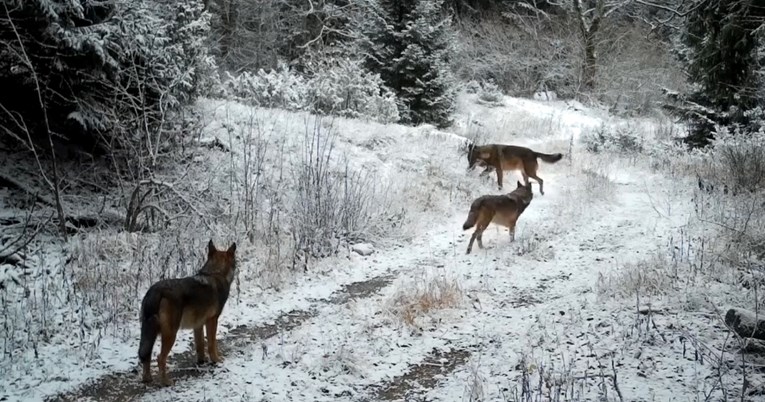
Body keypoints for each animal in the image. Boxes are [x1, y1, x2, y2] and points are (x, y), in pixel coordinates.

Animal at [137, 239, 237, 386]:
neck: (215, 273)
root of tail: (155, 290)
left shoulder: (198, 325)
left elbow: (200, 345)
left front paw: (201, 362)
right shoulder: (212, 320)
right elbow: (212, 343)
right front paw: (216, 360)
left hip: (150, 333)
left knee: (147, 355)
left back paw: (147, 378)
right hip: (171, 334)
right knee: (160, 358)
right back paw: (166, 381)